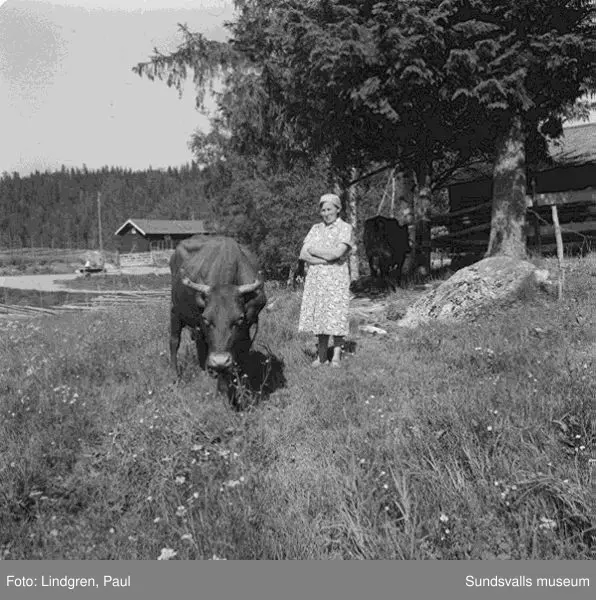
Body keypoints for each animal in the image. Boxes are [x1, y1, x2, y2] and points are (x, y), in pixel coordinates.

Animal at [170, 236, 268, 384]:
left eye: (240, 319)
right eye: (206, 319)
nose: (220, 361)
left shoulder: (248, 326)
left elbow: (243, 350)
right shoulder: (200, 323)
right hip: (175, 311)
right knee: (175, 341)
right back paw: (176, 376)